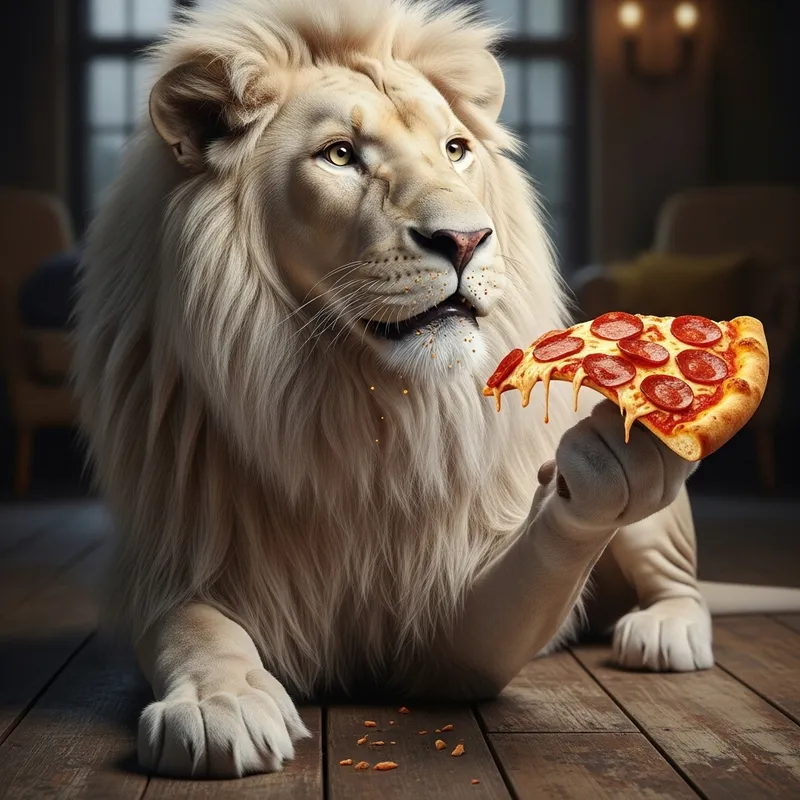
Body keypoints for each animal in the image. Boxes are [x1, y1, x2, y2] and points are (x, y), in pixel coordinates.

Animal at [72, 0, 800, 780]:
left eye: (455, 149)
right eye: (339, 155)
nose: (466, 239)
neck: (351, 408)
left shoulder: (445, 638)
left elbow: (544, 552)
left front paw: (602, 469)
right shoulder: (172, 561)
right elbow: (193, 629)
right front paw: (221, 703)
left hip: (659, 543)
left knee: (681, 584)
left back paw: (664, 631)